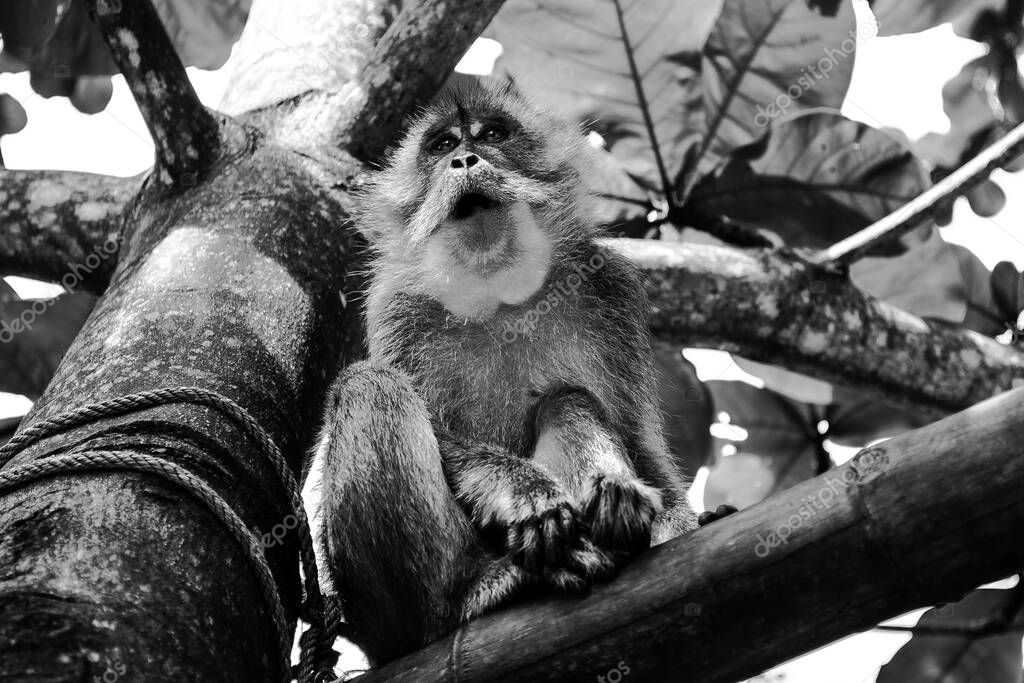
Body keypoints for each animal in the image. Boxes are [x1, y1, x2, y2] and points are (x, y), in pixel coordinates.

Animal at [310, 79, 698, 667]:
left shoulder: (608, 288)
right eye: (443, 144)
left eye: (492, 135)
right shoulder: (397, 306)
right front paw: (524, 495)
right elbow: (440, 434)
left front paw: (662, 518)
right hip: (385, 619)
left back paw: (611, 506)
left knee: (567, 400)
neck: (498, 292)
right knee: (369, 386)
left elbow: (640, 444)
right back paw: (472, 592)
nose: (464, 159)